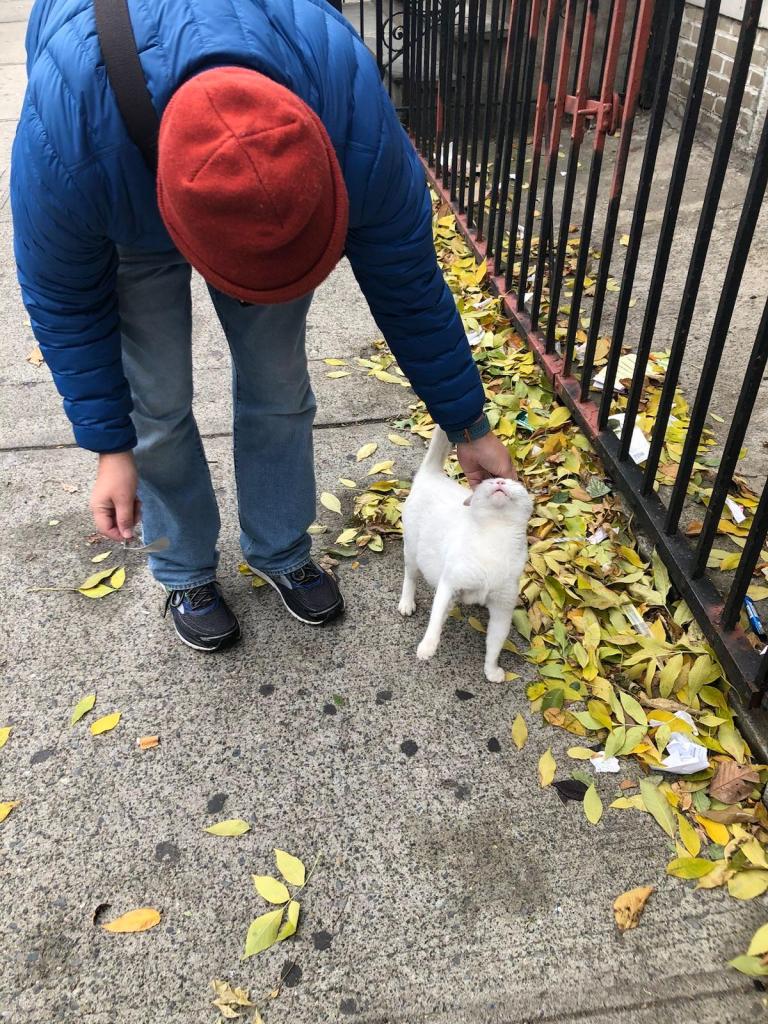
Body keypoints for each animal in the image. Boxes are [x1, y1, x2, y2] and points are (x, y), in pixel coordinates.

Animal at [398, 427, 533, 682]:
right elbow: (434, 619)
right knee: (410, 577)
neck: (496, 535)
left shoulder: (502, 608)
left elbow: (495, 644)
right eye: (488, 481)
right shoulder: (448, 584)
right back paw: (406, 602)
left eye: (512, 482)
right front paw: (427, 646)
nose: (500, 480)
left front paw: (491, 670)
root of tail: (433, 475)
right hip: (412, 551)